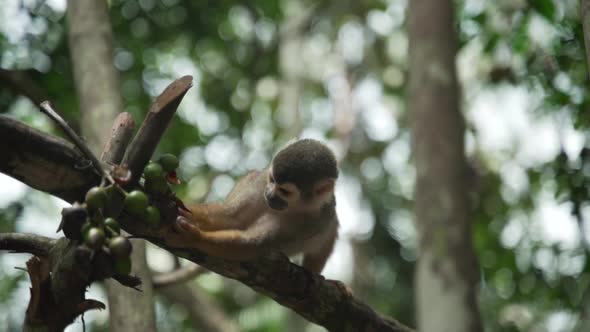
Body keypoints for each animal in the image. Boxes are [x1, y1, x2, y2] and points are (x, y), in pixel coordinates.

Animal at [173, 139, 340, 274]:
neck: (295, 206)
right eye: (272, 180)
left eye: (284, 191)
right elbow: (231, 217)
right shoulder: (261, 183)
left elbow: (257, 244)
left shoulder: (313, 222)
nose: (270, 195)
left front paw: (195, 238)